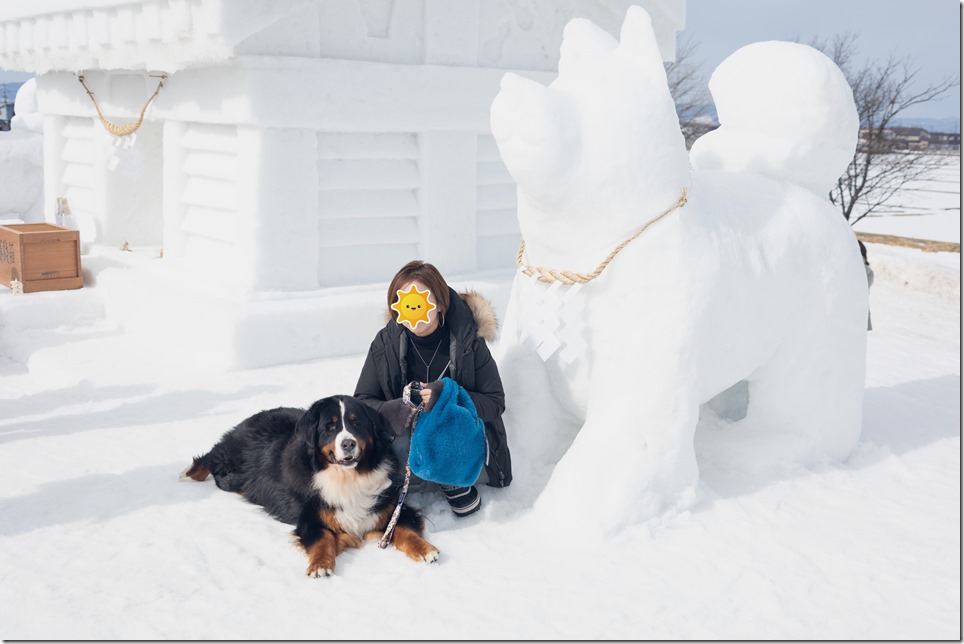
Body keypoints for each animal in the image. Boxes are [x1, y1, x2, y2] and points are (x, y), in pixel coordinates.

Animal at [180, 394, 436, 576]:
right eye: (330, 427)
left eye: (357, 424)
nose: (349, 444)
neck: (347, 477)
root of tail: (256, 415)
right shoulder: (311, 516)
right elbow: (321, 539)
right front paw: (320, 566)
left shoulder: (392, 505)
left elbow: (404, 529)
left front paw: (426, 550)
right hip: (231, 460)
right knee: (211, 456)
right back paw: (189, 474)